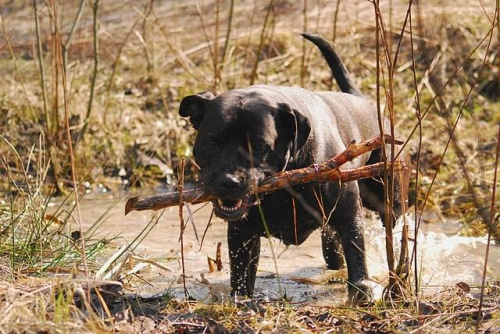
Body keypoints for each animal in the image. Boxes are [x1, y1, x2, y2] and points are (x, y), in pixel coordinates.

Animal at [178, 34, 408, 302]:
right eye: (213, 141)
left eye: (259, 145)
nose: (228, 181)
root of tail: (363, 101)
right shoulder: (242, 233)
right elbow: (241, 273)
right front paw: (241, 298)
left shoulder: (348, 213)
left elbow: (356, 252)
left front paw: (361, 290)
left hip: (387, 199)